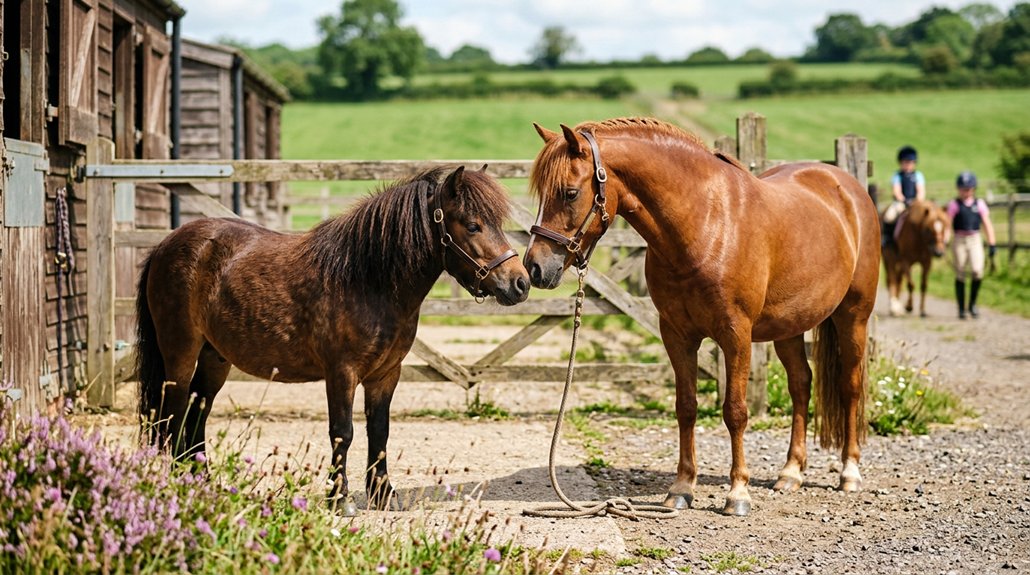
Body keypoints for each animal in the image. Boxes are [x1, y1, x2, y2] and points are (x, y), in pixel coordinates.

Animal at [135, 166, 529, 515]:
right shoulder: (342, 372)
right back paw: (180, 485)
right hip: (180, 352)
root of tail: (165, 245)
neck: (367, 280)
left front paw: (383, 496)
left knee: (197, 413)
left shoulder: (386, 375)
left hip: (215, 357)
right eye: (473, 225)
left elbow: (379, 431)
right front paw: (339, 500)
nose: (520, 283)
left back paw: (202, 482)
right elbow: (343, 432)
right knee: (173, 414)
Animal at [524, 118, 880, 516]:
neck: (706, 224)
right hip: (789, 326)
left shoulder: (736, 335)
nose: (535, 267)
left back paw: (849, 473)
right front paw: (681, 488)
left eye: (569, 193)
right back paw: (790, 473)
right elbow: (686, 407)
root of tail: (846, 185)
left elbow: (735, 411)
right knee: (801, 385)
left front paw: (737, 493)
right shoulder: (676, 334)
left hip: (854, 316)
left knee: (850, 386)